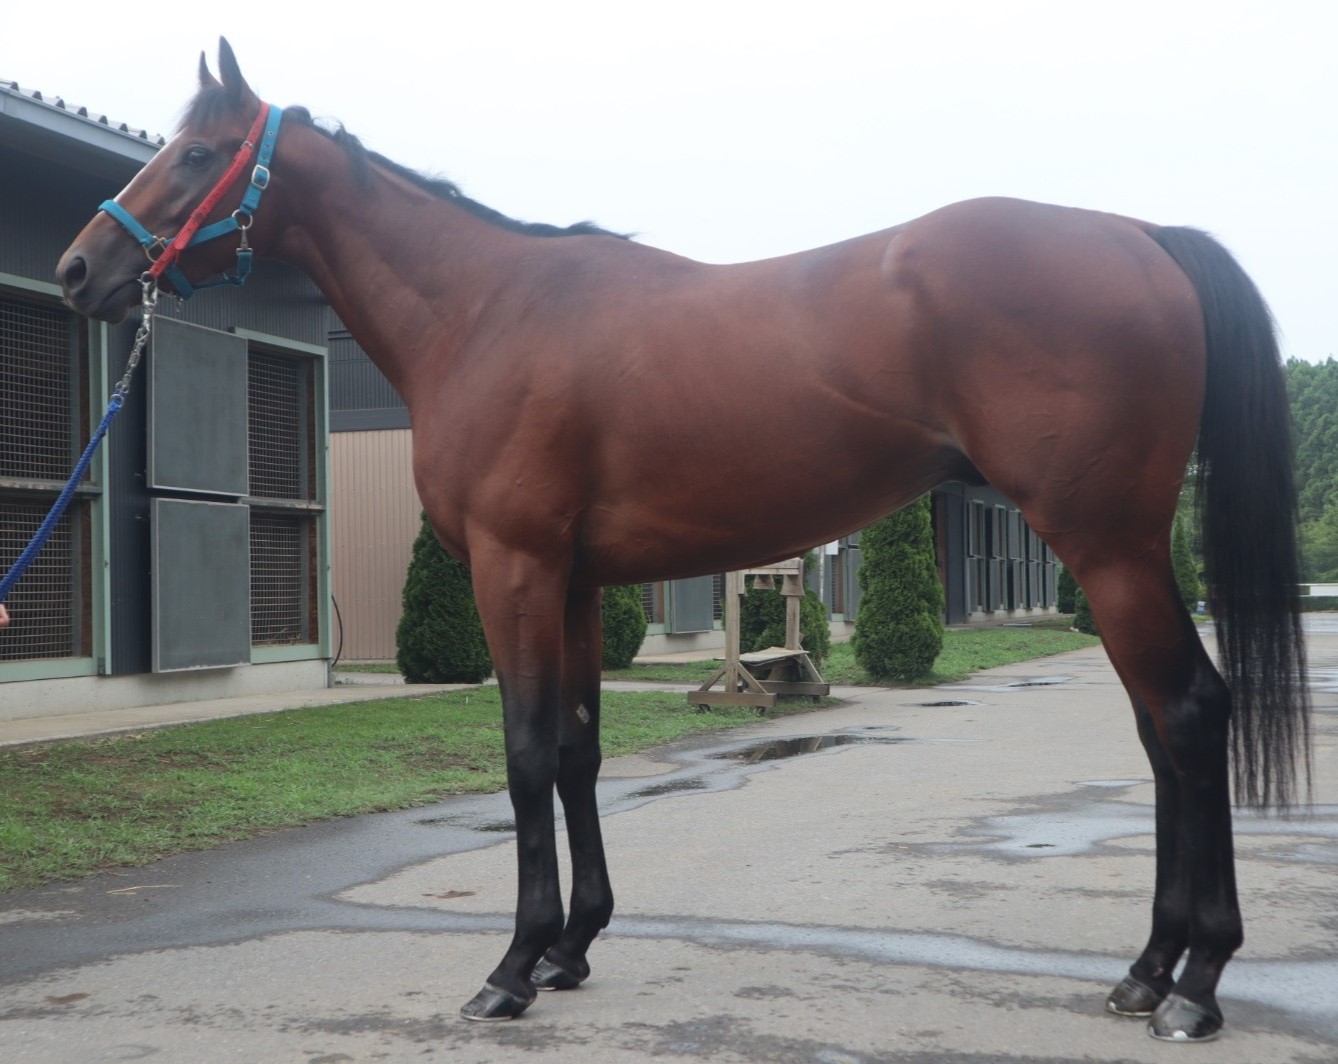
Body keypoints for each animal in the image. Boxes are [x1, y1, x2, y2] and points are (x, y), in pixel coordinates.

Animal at [57, 40, 1310, 1043]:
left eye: (195, 151)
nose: (78, 270)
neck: (484, 311)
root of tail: (1139, 236)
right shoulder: (571, 582)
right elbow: (575, 751)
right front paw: (572, 946)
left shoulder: (514, 568)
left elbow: (523, 756)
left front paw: (511, 968)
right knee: (1161, 728)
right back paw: (1148, 969)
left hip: (1106, 546)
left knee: (1188, 714)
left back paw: (1195, 982)